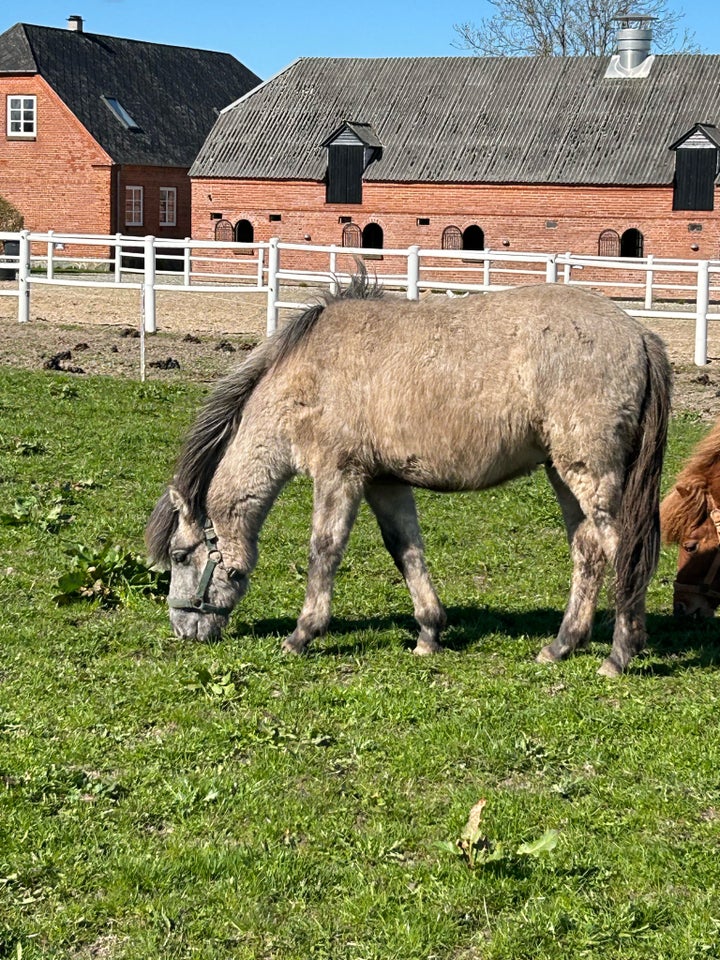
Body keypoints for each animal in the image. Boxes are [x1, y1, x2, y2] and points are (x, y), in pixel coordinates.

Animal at [143, 276, 672, 676]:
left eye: (179, 555)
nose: (182, 629)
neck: (311, 372)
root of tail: (639, 334)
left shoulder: (339, 474)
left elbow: (324, 550)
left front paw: (301, 634)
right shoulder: (385, 481)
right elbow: (406, 550)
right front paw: (429, 632)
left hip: (589, 474)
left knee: (622, 550)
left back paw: (619, 655)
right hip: (564, 475)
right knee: (588, 552)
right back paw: (561, 645)